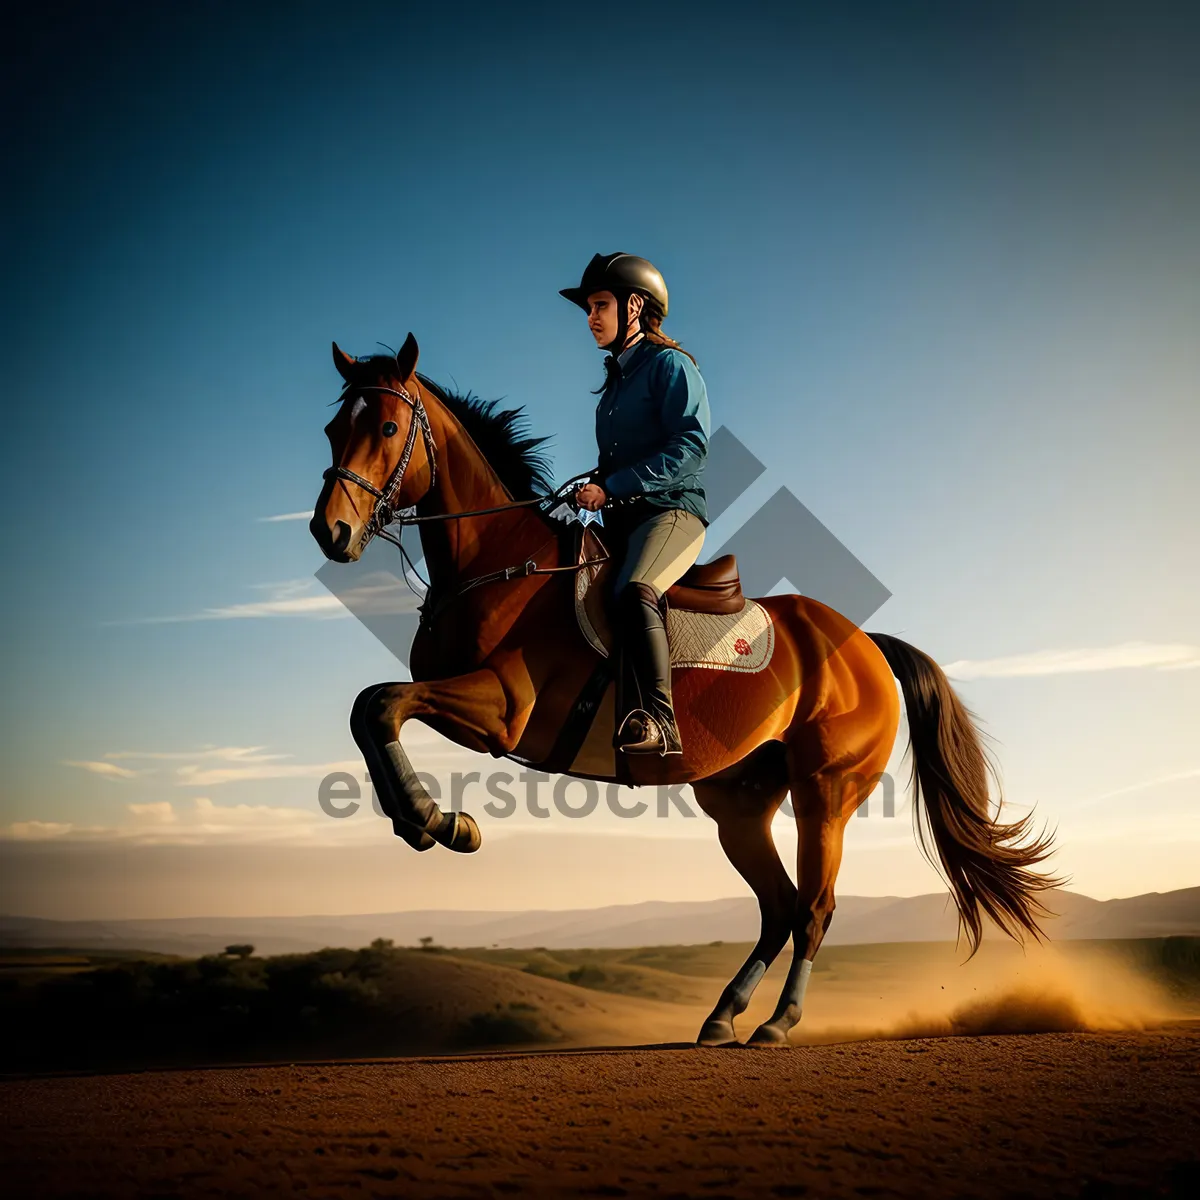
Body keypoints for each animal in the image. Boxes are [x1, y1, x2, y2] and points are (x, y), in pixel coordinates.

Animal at [312, 333, 1060, 1046]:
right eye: (330, 429)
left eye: (386, 427)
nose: (330, 531)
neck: (500, 564)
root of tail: (865, 645)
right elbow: (367, 709)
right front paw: (422, 821)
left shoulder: (503, 708)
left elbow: (382, 702)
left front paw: (441, 823)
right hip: (740, 802)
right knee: (779, 906)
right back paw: (722, 1018)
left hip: (827, 791)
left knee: (813, 908)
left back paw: (777, 1024)